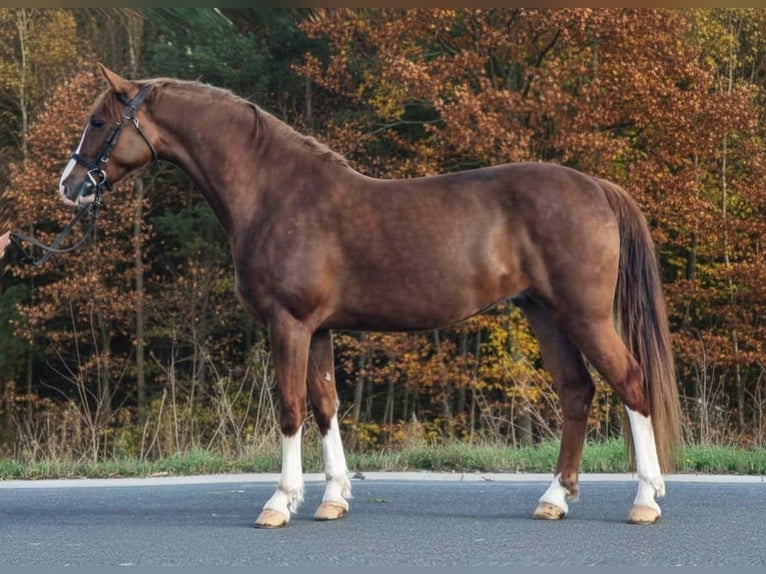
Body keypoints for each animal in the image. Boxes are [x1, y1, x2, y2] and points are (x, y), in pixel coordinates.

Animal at [58, 64, 681, 528]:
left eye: (98, 120)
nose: (68, 187)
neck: (274, 194)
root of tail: (596, 186)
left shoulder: (288, 323)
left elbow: (290, 408)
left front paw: (279, 502)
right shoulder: (319, 329)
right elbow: (326, 404)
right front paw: (333, 498)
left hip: (585, 315)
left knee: (631, 383)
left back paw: (645, 500)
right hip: (545, 314)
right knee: (577, 392)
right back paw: (554, 498)